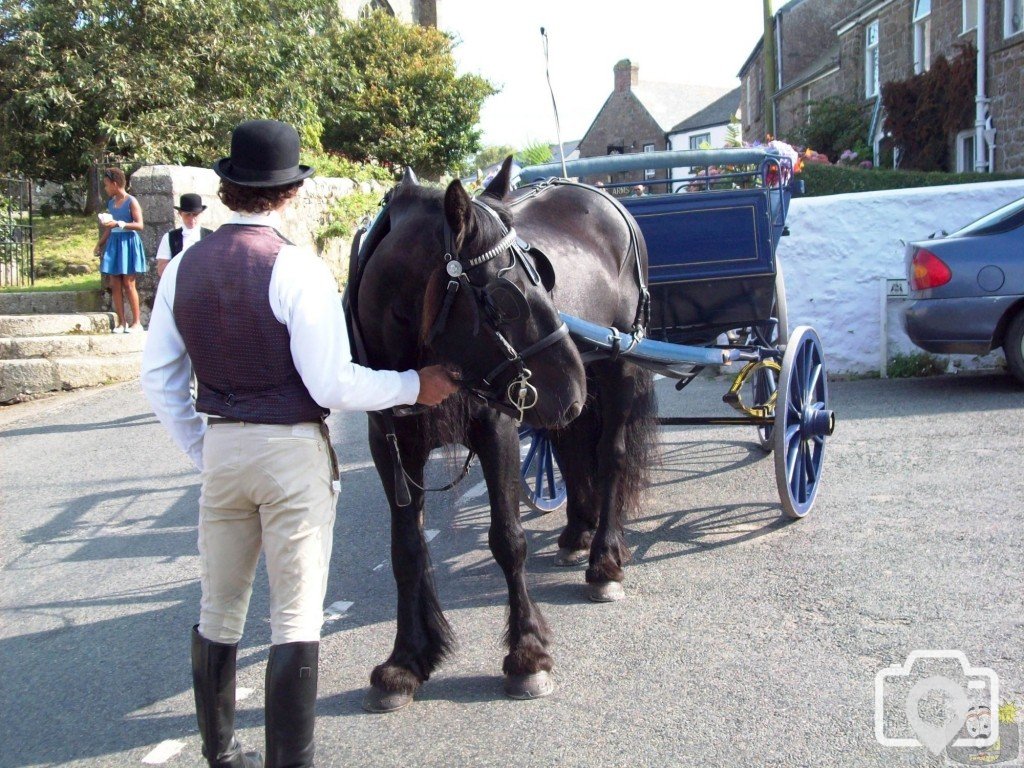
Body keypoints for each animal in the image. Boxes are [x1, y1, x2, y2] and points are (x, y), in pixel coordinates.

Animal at [348, 157, 655, 716]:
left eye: (542, 273)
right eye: (504, 296)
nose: (572, 385)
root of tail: (602, 195)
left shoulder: (499, 429)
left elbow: (508, 540)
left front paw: (527, 655)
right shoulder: (391, 447)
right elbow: (406, 550)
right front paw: (406, 660)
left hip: (618, 365)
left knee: (609, 457)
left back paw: (604, 559)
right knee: (571, 448)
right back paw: (577, 532)